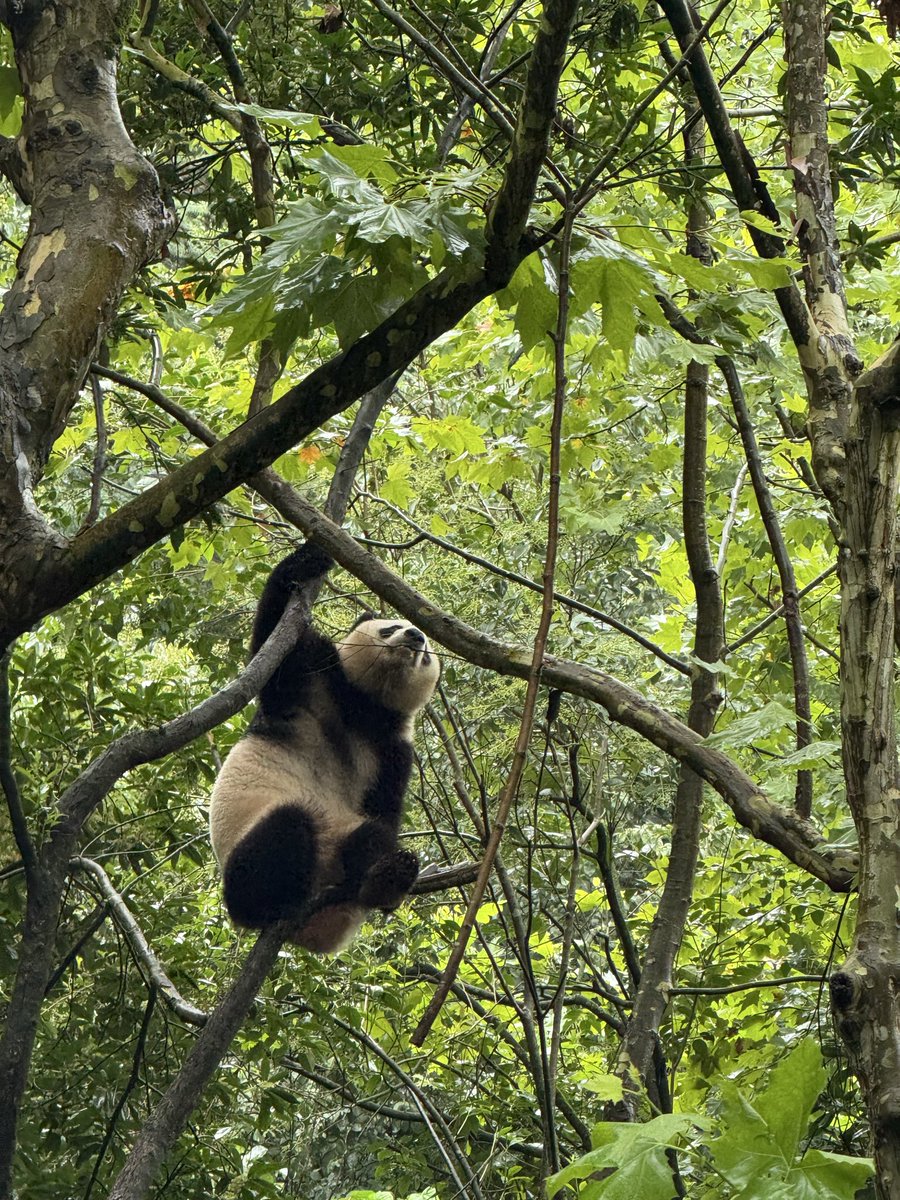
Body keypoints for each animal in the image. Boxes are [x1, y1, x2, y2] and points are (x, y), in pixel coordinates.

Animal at [209, 542, 441, 953]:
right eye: (390, 627)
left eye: (428, 653)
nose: (416, 635)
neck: (361, 706)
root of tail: (312, 935)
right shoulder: (313, 682)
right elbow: (274, 647)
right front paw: (306, 560)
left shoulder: (392, 751)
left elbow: (384, 810)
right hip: (250, 829)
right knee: (285, 829)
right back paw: (265, 906)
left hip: (339, 839)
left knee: (368, 838)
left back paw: (385, 880)